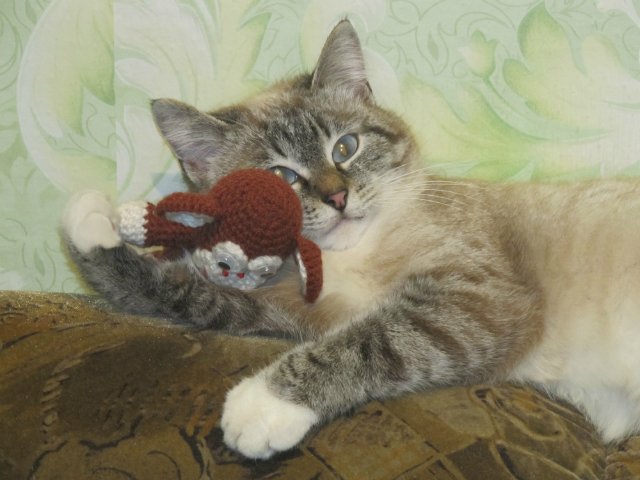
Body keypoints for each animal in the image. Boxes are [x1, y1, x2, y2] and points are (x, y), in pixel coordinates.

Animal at [62, 20, 640, 459]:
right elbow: (193, 296)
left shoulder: (478, 298)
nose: (339, 198)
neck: (353, 257)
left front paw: (261, 406)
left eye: (345, 147)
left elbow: (374, 340)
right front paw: (92, 227)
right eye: (283, 177)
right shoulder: (294, 314)